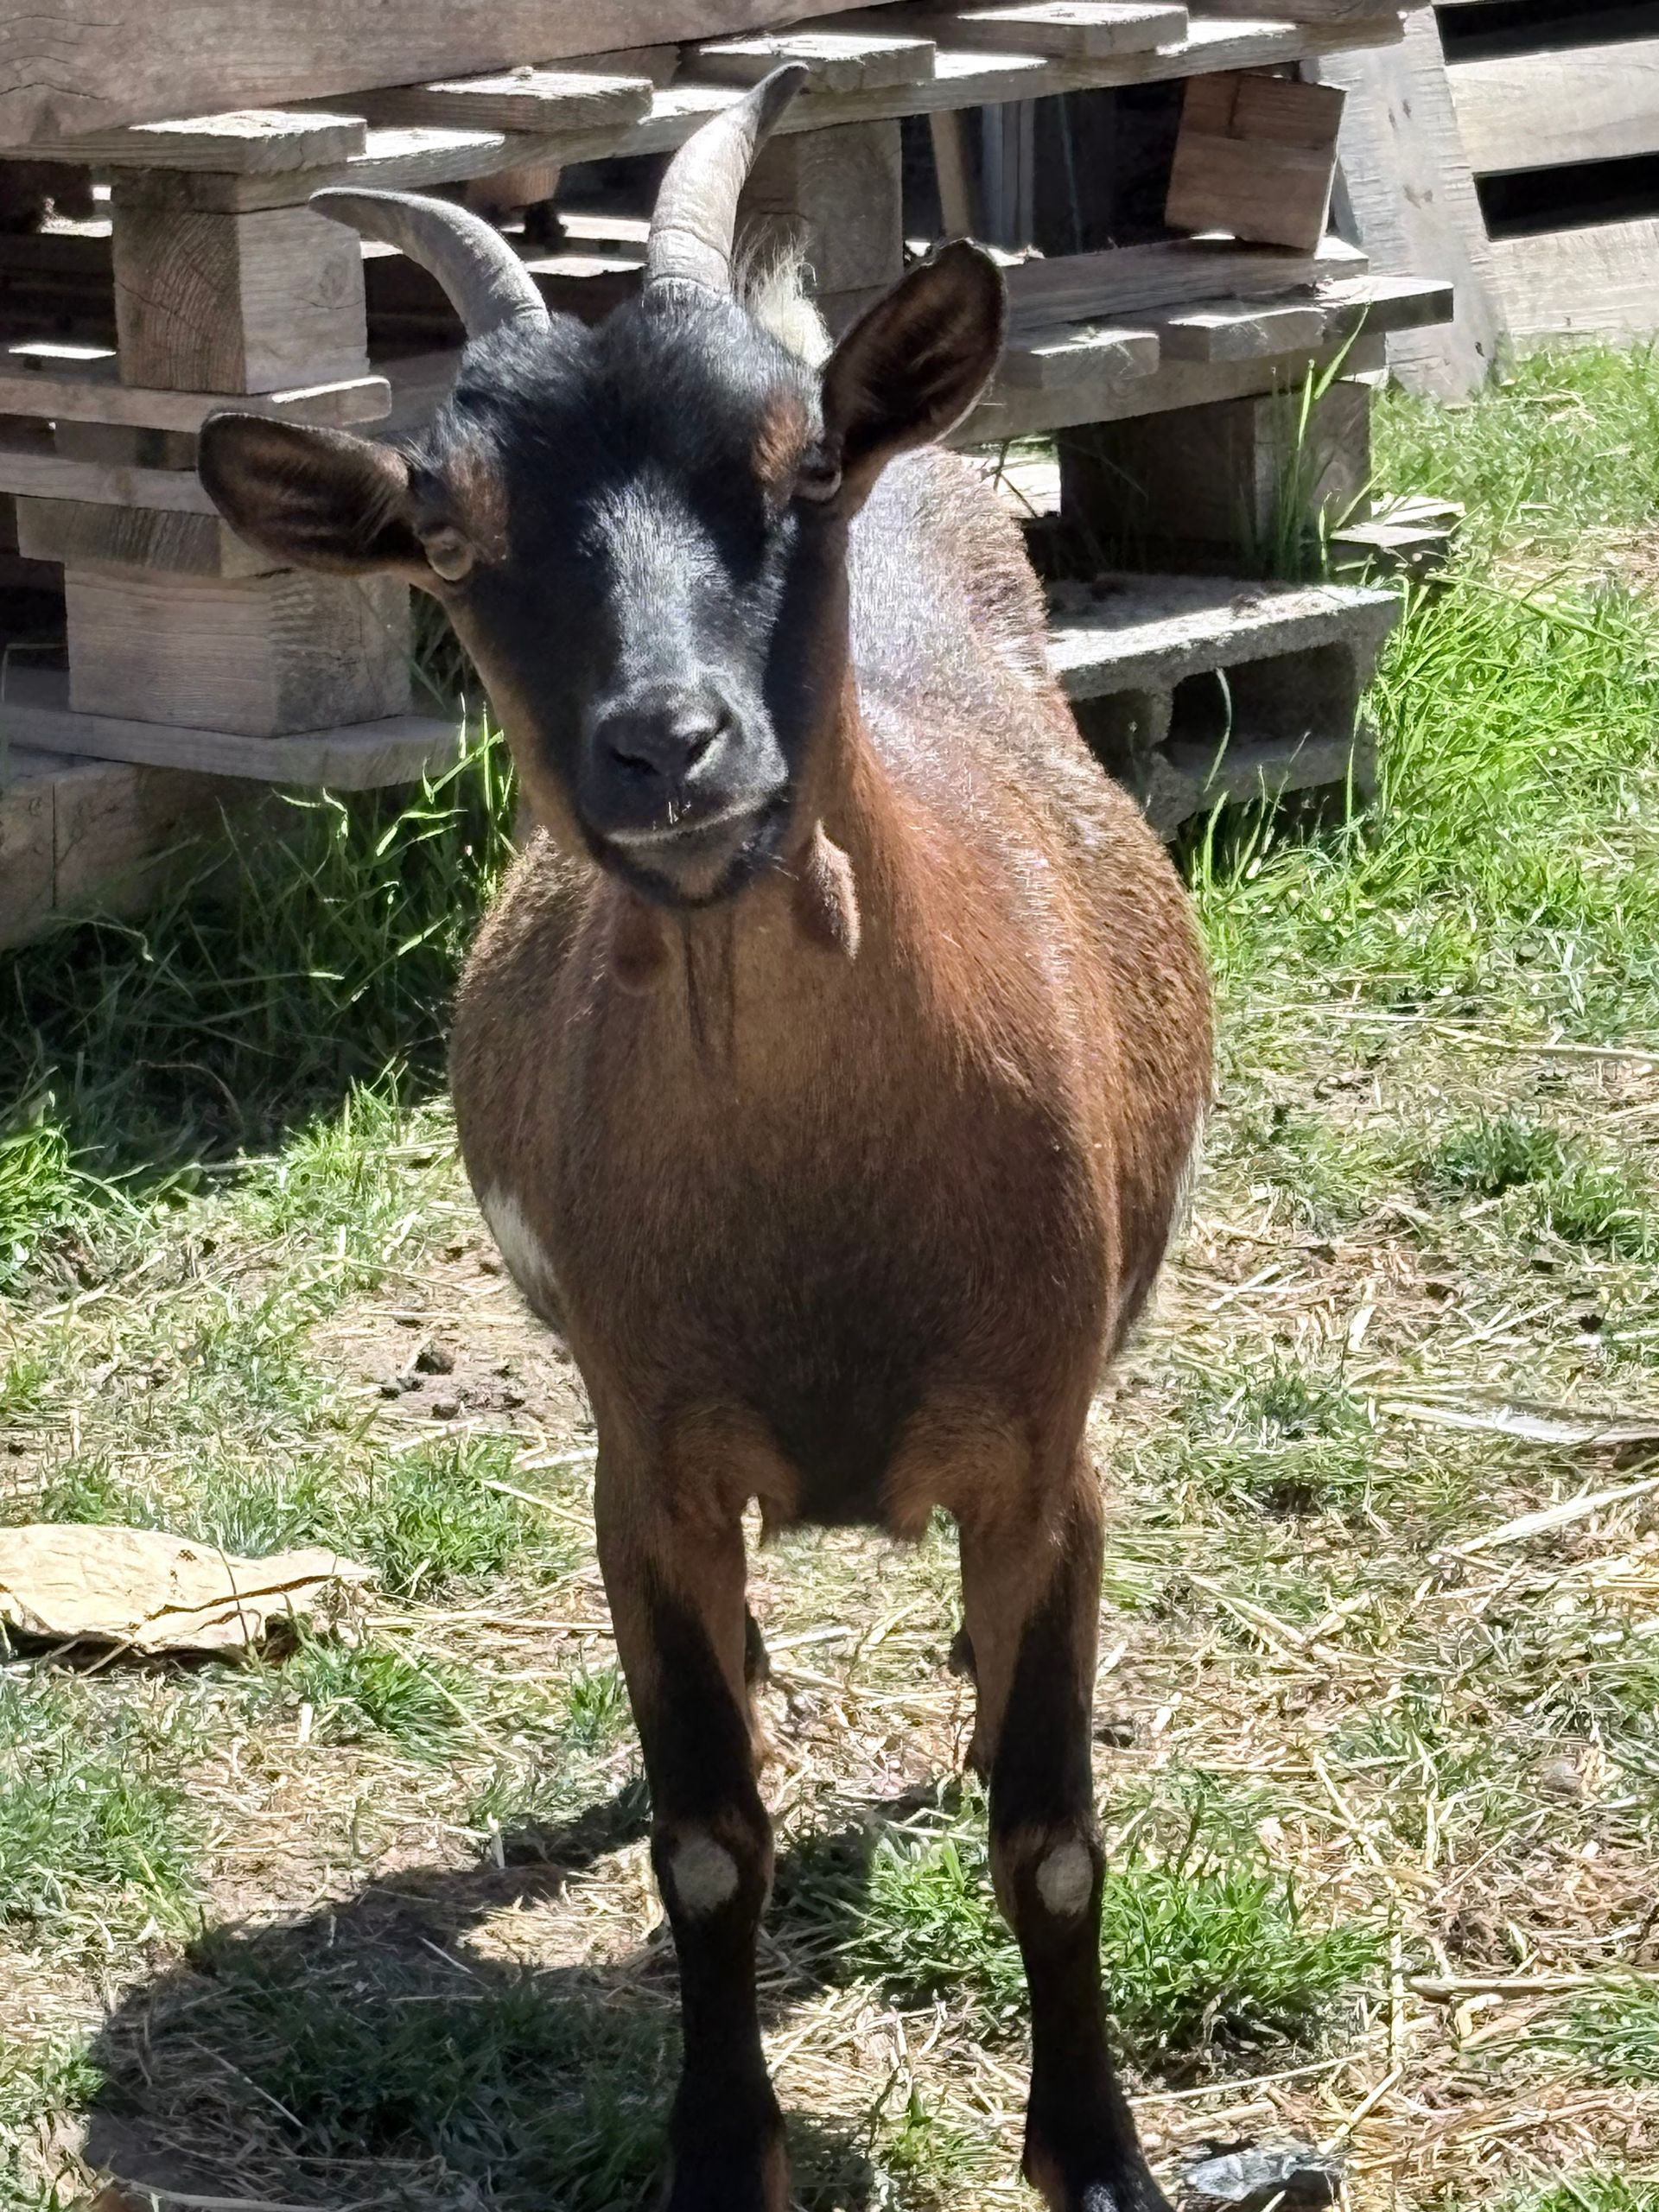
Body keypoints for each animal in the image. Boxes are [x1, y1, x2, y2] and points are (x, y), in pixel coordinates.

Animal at [200, 67, 1212, 2212]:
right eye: (442, 527)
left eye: (795, 454)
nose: (667, 746)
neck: (832, 1228)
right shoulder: (644, 1464)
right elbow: (704, 1843)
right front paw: (719, 2144)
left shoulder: (1049, 1459)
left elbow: (1053, 1839)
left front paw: (1096, 2150)